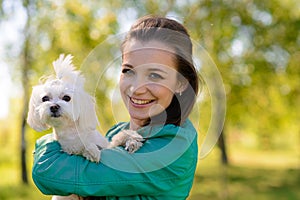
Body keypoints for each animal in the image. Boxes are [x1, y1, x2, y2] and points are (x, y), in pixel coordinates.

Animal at [27, 54, 143, 199]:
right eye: (45, 99)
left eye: (67, 98)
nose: (53, 106)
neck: (73, 132)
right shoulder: (69, 148)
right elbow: (80, 148)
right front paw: (91, 151)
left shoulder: (106, 145)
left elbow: (117, 138)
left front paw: (132, 140)